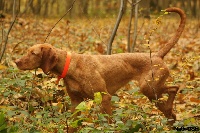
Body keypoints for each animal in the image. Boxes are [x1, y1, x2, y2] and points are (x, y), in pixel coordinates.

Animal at [15, 7, 186, 131]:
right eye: (27, 51)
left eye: (33, 53)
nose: (16, 62)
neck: (71, 66)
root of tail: (157, 55)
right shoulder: (75, 102)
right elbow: (73, 125)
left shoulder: (104, 98)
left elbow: (109, 122)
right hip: (153, 93)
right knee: (171, 109)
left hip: (149, 88)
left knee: (175, 87)